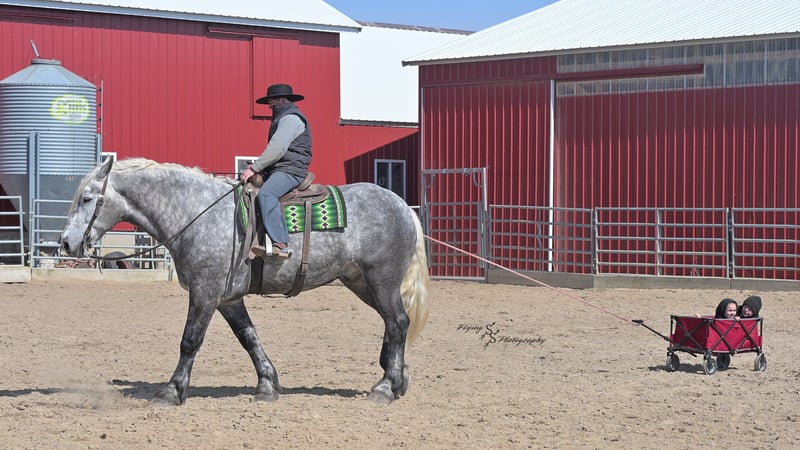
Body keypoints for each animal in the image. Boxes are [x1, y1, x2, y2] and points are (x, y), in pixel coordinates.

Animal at [59, 157, 430, 405]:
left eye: (87, 198)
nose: (65, 243)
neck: (197, 212)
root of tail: (402, 206)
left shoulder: (205, 293)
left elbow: (189, 341)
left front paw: (171, 391)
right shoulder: (228, 299)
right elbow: (248, 338)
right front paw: (267, 385)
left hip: (381, 280)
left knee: (398, 322)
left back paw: (385, 387)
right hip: (362, 283)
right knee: (393, 323)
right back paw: (396, 379)